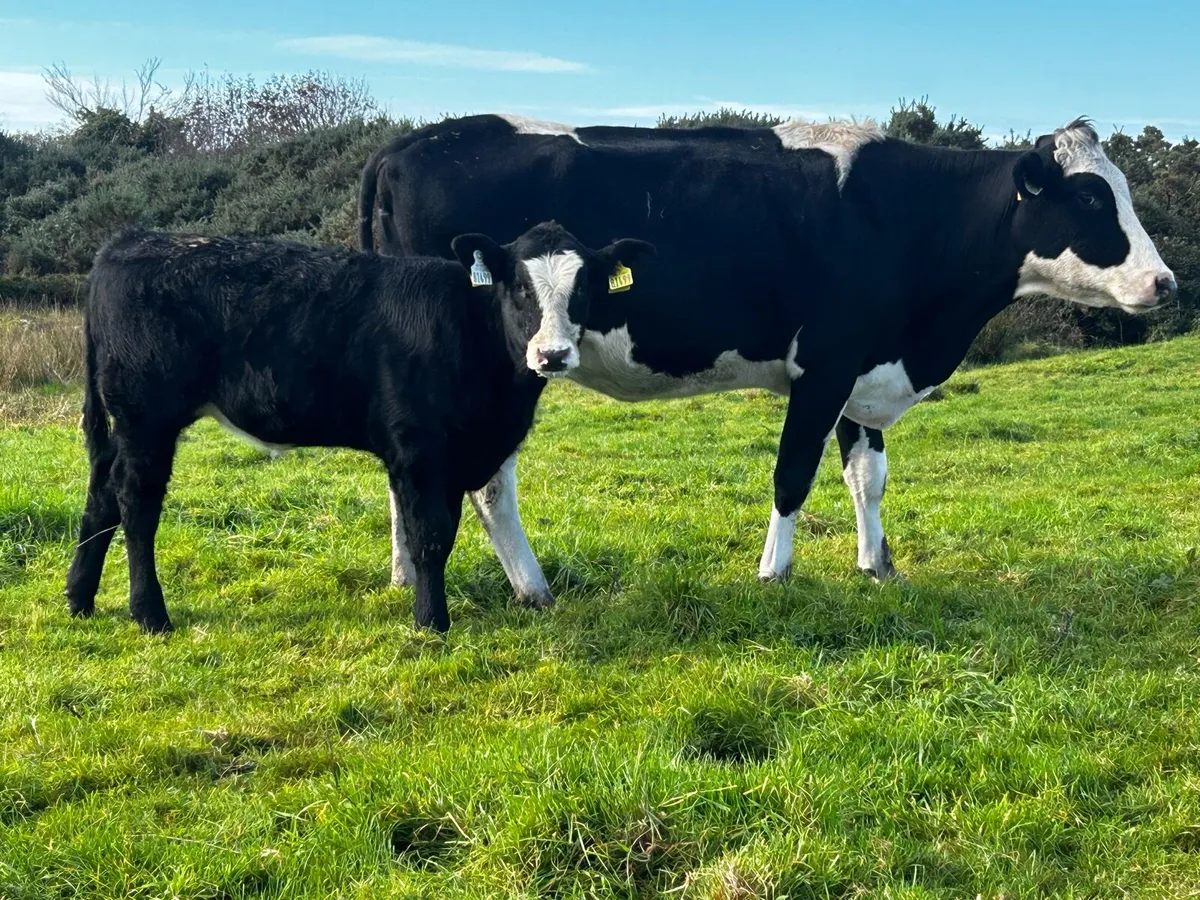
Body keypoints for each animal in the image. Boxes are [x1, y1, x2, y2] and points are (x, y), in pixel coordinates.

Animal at [64, 223, 654, 633]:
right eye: (519, 288)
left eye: (583, 289)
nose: (552, 355)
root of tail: (130, 241)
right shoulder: (418, 449)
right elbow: (429, 536)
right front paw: (431, 623)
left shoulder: (454, 453)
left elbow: (442, 536)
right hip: (147, 418)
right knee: (136, 506)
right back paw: (150, 615)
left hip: (125, 425)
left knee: (101, 497)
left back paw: (79, 600)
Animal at [358, 114, 1176, 608]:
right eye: (1092, 201)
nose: (1165, 282)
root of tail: (404, 145)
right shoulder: (825, 364)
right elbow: (793, 474)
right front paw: (774, 573)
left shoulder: (863, 367)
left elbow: (867, 473)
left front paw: (878, 565)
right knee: (489, 482)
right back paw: (531, 587)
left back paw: (404, 575)